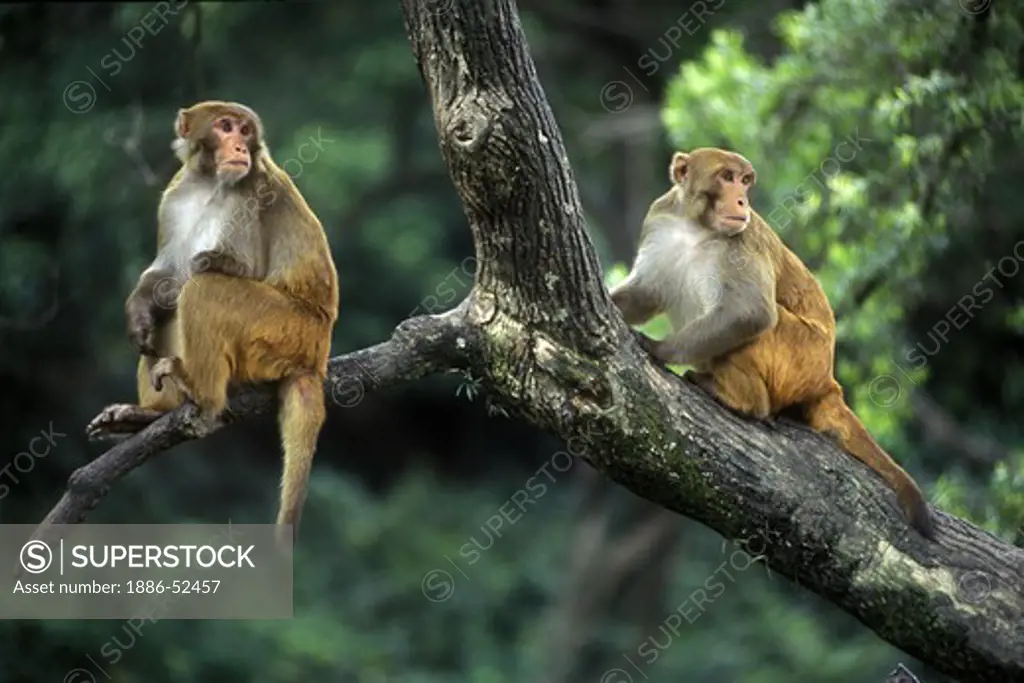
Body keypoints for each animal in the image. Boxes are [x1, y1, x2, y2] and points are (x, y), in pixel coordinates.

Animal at [86, 101, 337, 548]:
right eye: (224, 126)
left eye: (244, 130)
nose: (238, 145)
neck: (209, 184)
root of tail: (316, 359)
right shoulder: (174, 195)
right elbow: (164, 274)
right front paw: (139, 309)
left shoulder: (251, 193)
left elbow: (223, 269)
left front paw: (201, 267)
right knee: (166, 318)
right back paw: (152, 413)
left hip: (287, 331)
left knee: (204, 290)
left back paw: (202, 394)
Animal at [606, 148, 937, 540]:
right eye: (727, 176)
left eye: (745, 181)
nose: (742, 200)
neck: (696, 227)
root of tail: (827, 378)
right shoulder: (660, 222)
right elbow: (646, 296)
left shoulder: (743, 239)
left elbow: (752, 312)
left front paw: (660, 350)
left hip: (799, 355)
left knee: (758, 323)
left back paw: (746, 402)